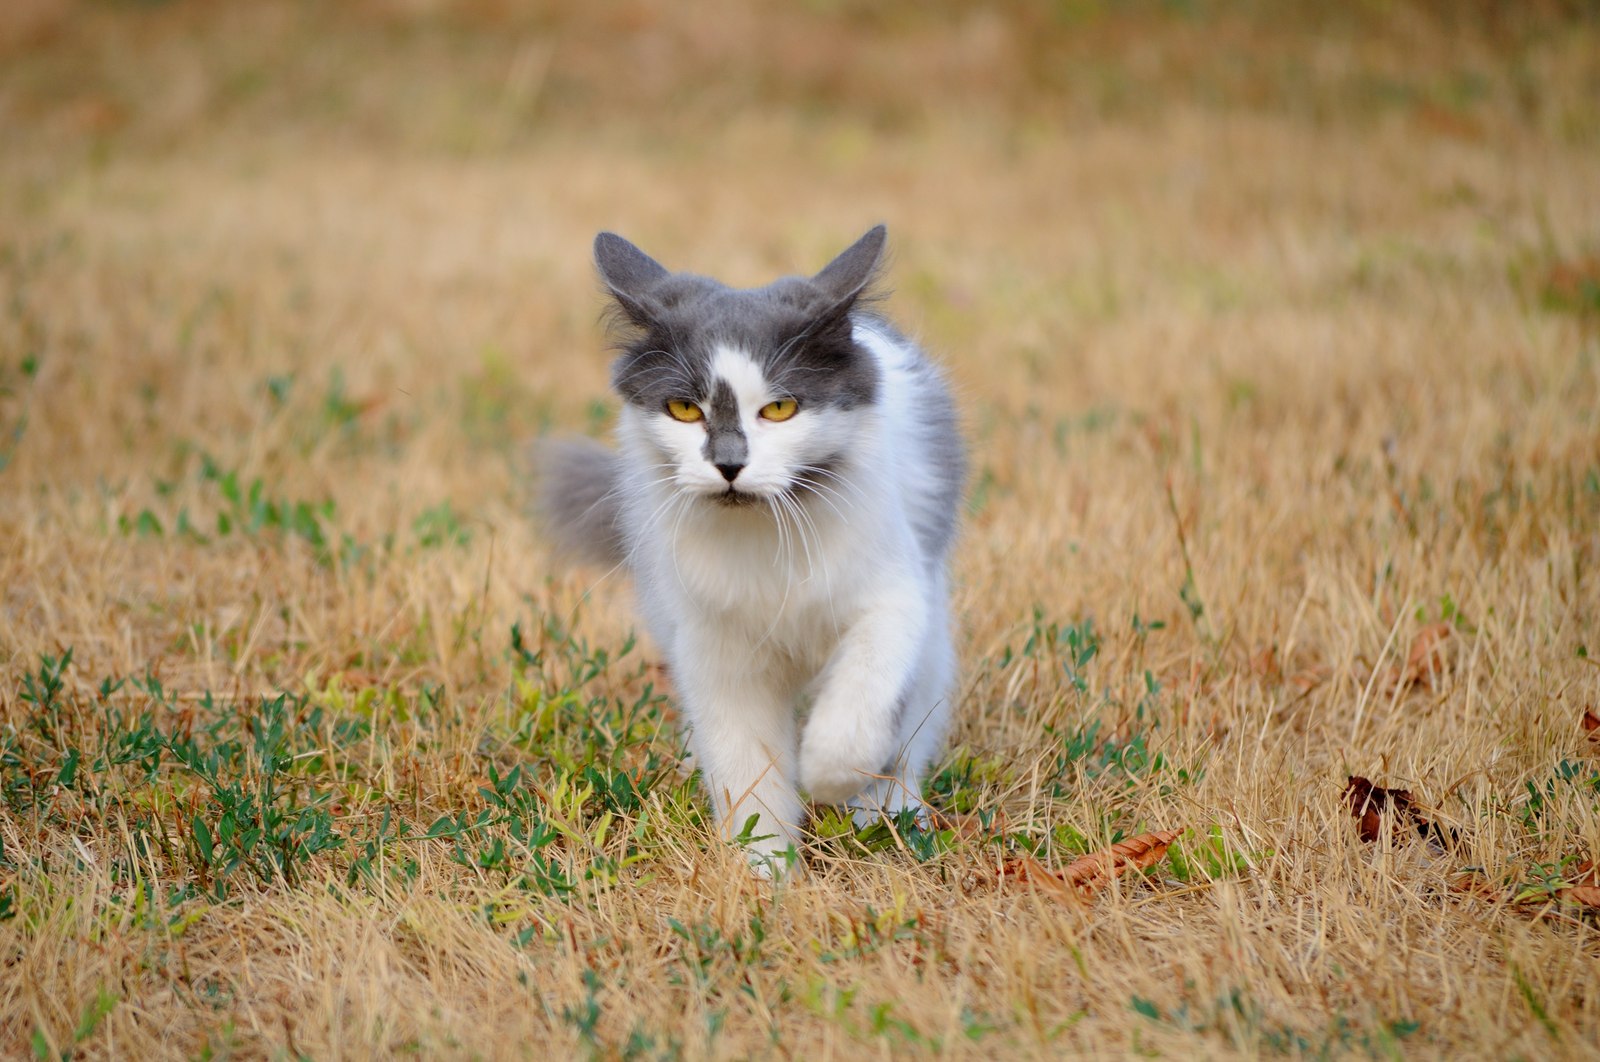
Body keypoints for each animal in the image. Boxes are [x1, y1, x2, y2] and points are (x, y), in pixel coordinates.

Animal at [544, 222, 960, 870]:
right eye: (683, 409)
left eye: (780, 408)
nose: (729, 464)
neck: (769, 539)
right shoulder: (717, 649)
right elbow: (748, 772)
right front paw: (763, 871)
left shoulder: (893, 599)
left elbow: (859, 703)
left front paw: (828, 776)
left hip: (935, 637)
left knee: (910, 732)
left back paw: (887, 811)